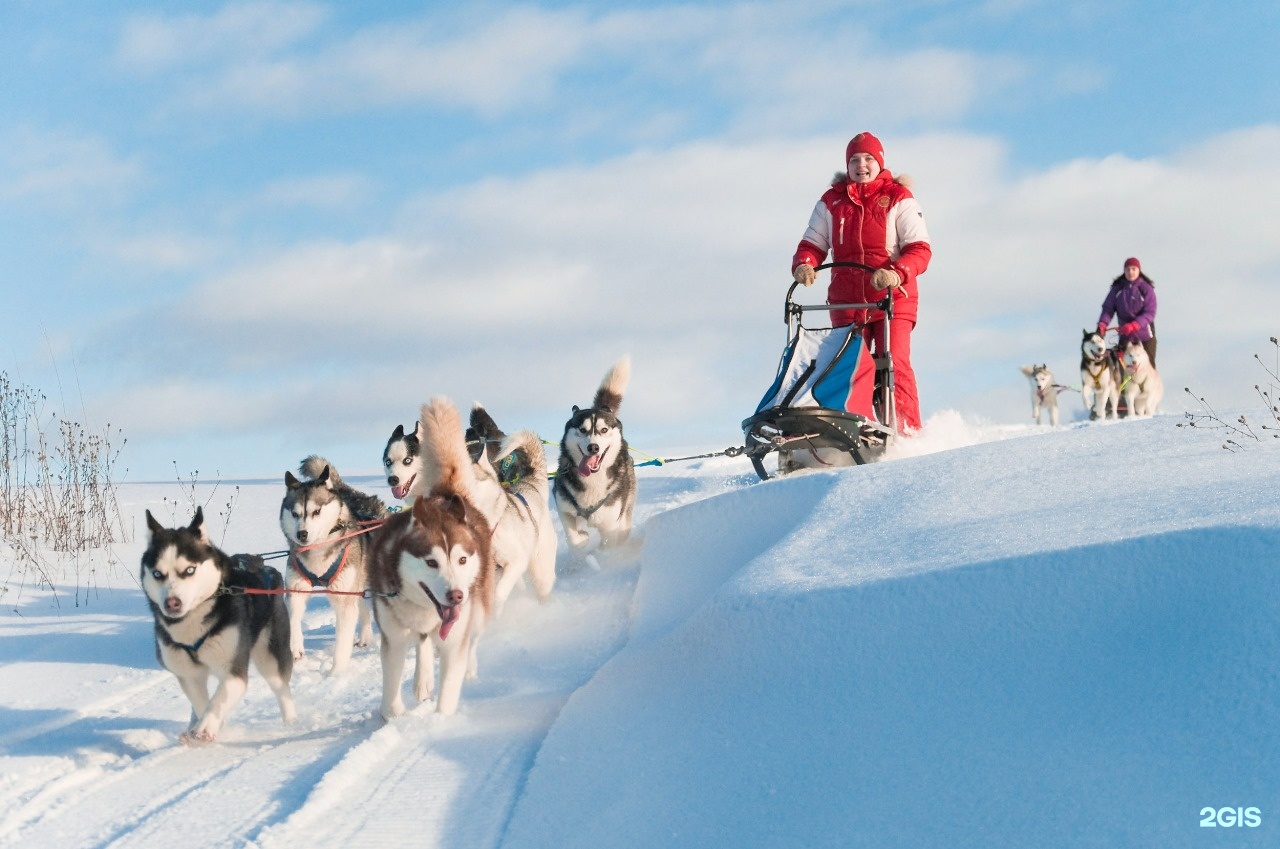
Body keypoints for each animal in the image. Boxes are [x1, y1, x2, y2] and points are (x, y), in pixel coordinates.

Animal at [141, 507, 295, 747]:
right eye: (157, 574)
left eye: (189, 570)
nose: (172, 603)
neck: (191, 626)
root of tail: (266, 568)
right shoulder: (189, 675)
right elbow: (201, 703)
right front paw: (203, 727)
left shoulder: (233, 671)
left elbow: (218, 700)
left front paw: (206, 728)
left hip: (270, 657)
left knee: (282, 688)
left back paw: (292, 722)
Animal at [276, 455, 384, 676]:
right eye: (294, 513)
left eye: (316, 511)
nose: (302, 534)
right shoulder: (297, 588)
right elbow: (293, 618)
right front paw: (295, 647)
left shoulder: (343, 600)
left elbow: (342, 642)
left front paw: (336, 673)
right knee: (363, 610)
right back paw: (365, 637)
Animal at [368, 399, 496, 717]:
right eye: (431, 562)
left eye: (462, 560)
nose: (456, 596)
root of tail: (446, 494)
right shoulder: (393, 639)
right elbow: (391, 699)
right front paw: (396, 715)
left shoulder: (455, 637)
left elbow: (448, 692)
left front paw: (438, 721)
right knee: (424, 641)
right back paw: (422, 678)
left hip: (479, 609)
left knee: (472, 638)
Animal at [555, 355, 640, 555]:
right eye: (582, 430)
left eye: (604, 430)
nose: (593, 447)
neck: (592, 481)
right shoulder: (563, 507)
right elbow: (573, 538)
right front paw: (582, 539)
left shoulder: (610, 525)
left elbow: (607, 546)